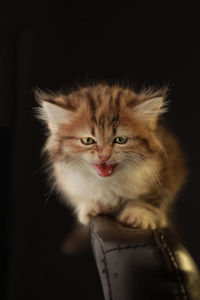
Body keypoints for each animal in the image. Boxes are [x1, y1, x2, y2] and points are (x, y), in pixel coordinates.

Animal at [35, 84, 187, 230]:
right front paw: (91, 207)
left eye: (120, 140)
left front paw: (137, 215)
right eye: (88, 140)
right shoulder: (68, 181)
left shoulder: (163, 171)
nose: (104, 155)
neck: (107, 181)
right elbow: (83, 197)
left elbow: (148, 200)